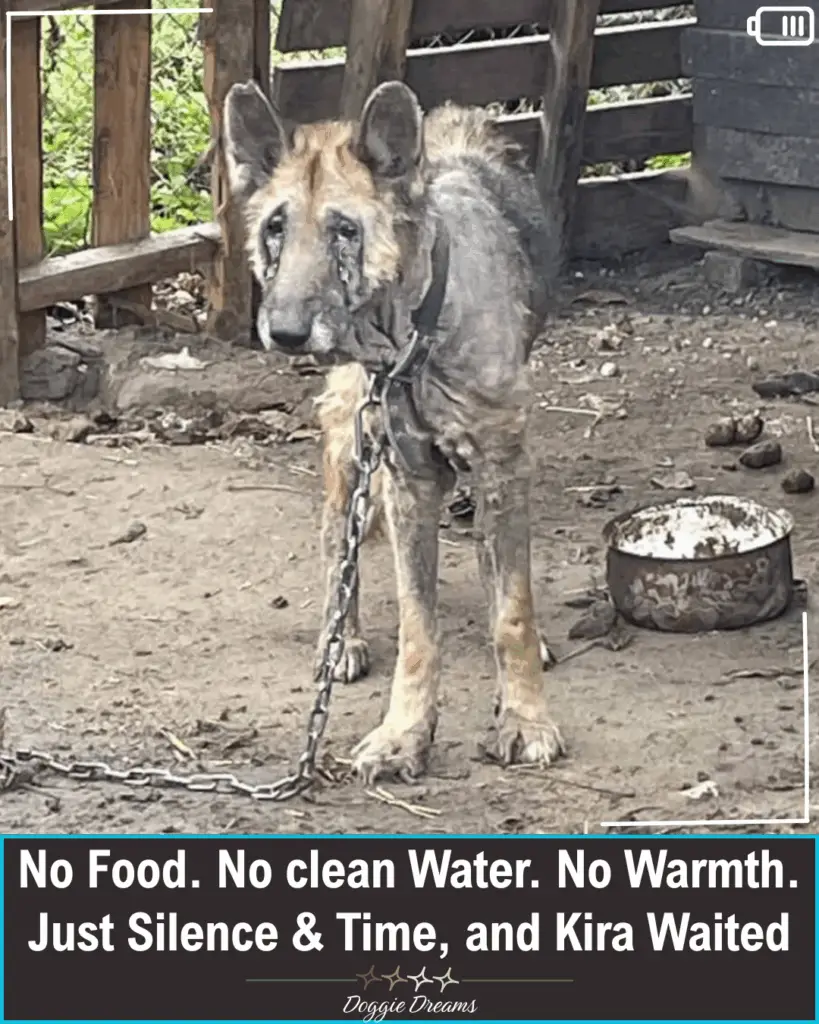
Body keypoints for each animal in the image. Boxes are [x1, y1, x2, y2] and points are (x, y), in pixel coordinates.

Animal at [222, 78, 566, 784]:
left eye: (345, 230)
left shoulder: (502, 470)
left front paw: (524, 717)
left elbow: (511, 609)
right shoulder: (409, 479)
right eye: (276, 227)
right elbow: (417, 627)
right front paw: (405, 733)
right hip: (349, 449)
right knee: (336, 547)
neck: (417, 334)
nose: (285, 332)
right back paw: (342, 639)